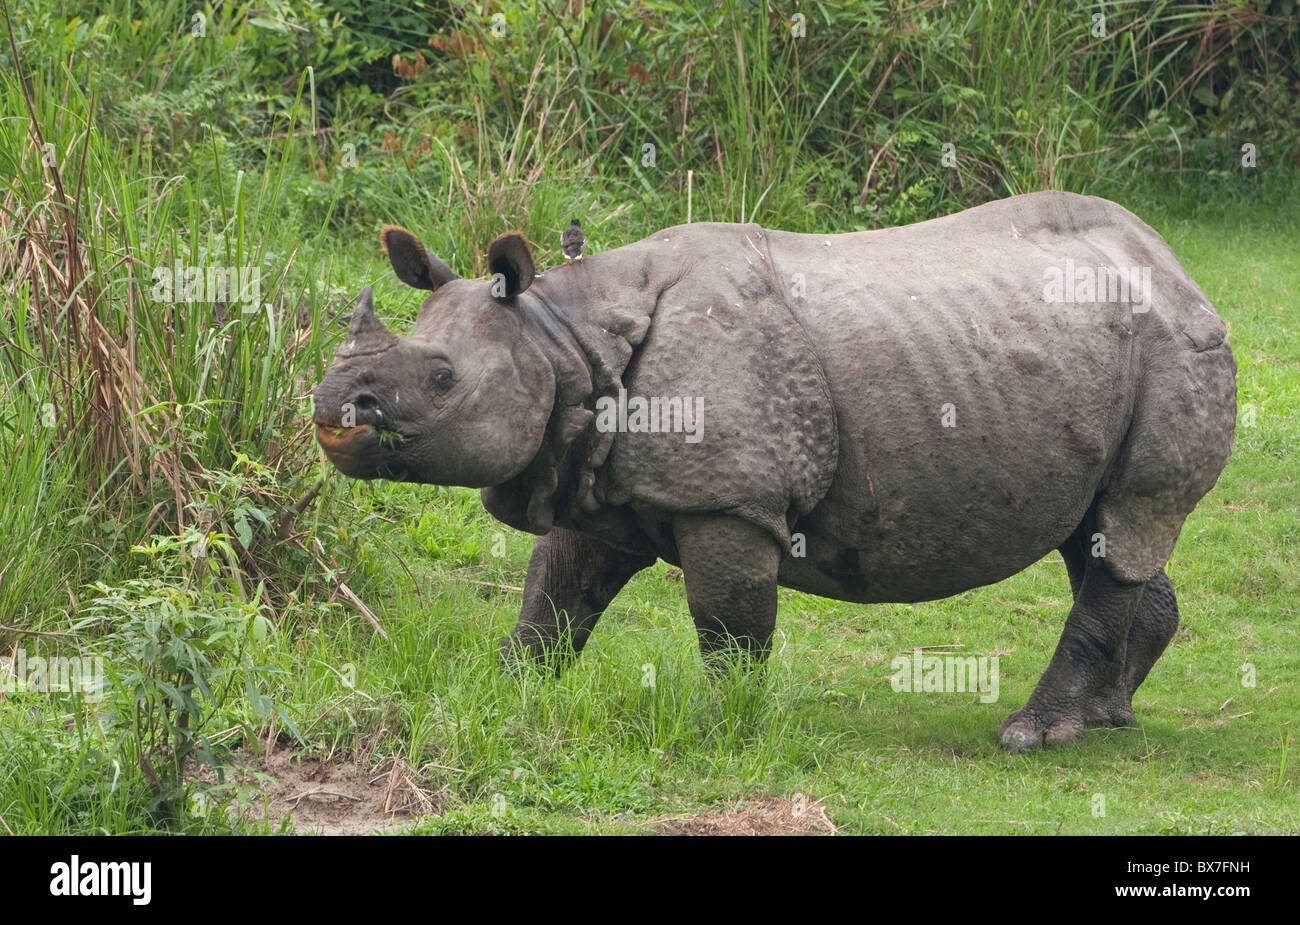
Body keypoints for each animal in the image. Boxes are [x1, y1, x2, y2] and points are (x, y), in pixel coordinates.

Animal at [312, 191, 1236, 752]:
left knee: (1129, 519)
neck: (561, 338)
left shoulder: (728, 500)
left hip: (1177, 343)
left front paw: (725, 722)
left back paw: (1030, 735)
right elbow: (553, 596)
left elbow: (728, 623)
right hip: (1108, 350)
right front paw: (504, 690)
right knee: (1103, 529)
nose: (329, 403)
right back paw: (1108, 716)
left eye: (442, 379)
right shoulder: (593, 473)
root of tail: (1177, 265)